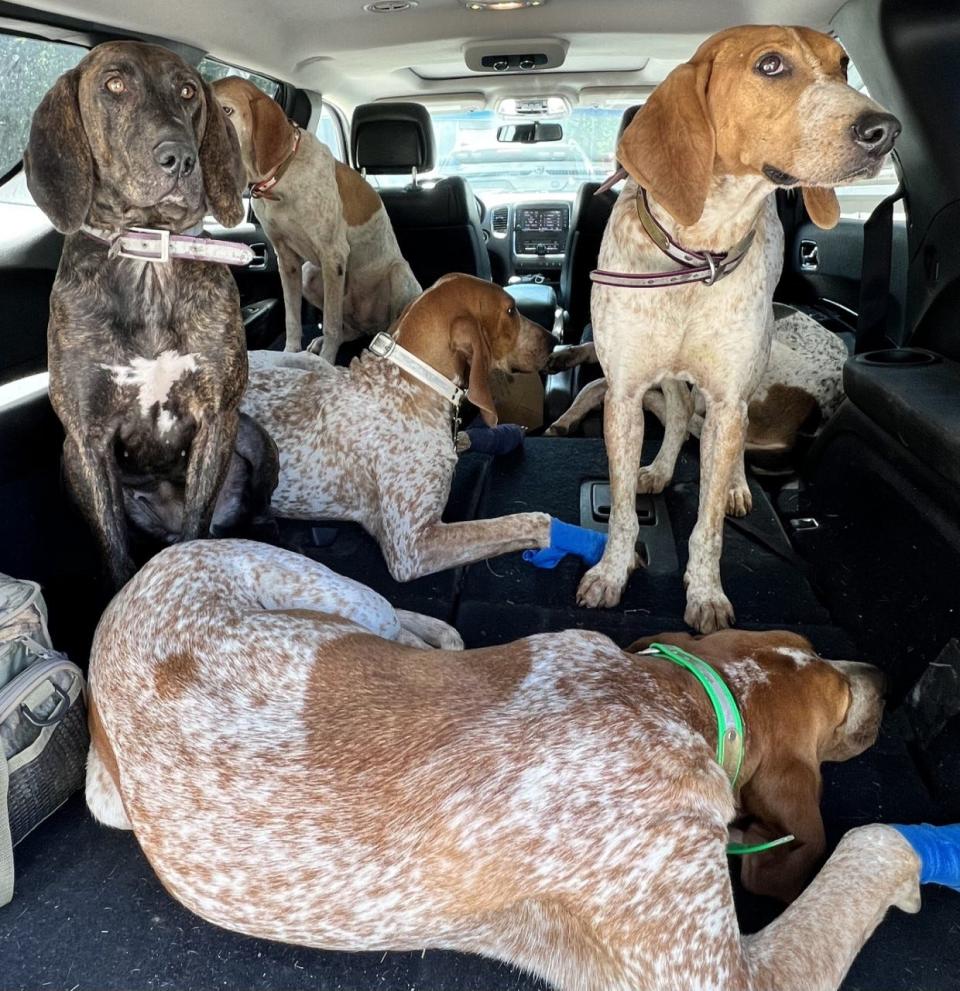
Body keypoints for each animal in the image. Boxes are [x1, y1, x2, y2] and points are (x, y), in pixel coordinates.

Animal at [84, 536, 960, 991]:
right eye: (841, 705)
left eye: (815, 644)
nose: (886, 680)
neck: (670, 697)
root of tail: (129, 591)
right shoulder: (725, 979)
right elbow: (876, 839)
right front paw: (920, 858)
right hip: (328, 593)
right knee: (387, 604)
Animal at [240, 272, 556, 580]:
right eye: (511, 310)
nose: (553, 339)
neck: (412, 383)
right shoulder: (412, 548)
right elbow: (523, 522)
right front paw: (560, 532)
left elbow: (469, 438)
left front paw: (506, 434)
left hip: (306, 363)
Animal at [580, 29, 904, 636]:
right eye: (770, 65)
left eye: (843, 65)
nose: (885, 130)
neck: (697, 252)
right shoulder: (626, 394)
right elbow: (624, 510)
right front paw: (611, 572)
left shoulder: (729, 396)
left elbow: (707, 524)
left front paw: (705, 593)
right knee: (681, 412)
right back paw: (660, 468)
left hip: (753, 375)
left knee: (725, 438)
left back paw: (732, 483)